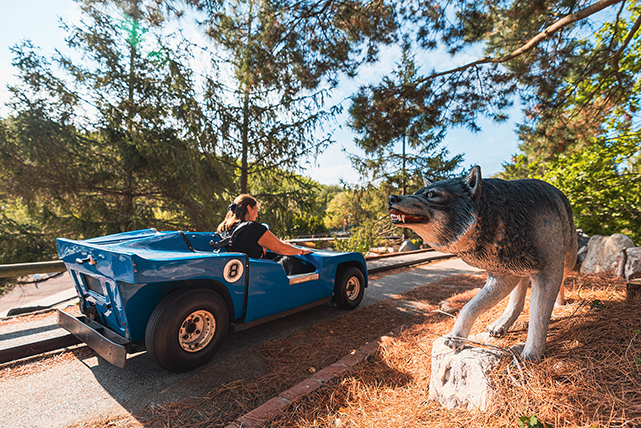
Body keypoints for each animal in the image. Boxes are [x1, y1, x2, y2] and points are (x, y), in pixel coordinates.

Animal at [388, 166, 576, 360]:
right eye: (416, 193)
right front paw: (456, 337)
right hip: (521, 271)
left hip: (567, 260)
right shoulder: (502, 276)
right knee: (518, 298)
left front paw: (530, 354)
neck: (506, 216)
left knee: (561, 281)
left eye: (431, 194)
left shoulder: (546, 270)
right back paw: (500, 324)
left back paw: (559, 303)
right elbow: (468, 307)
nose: (392, 198)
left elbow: (538, 315)